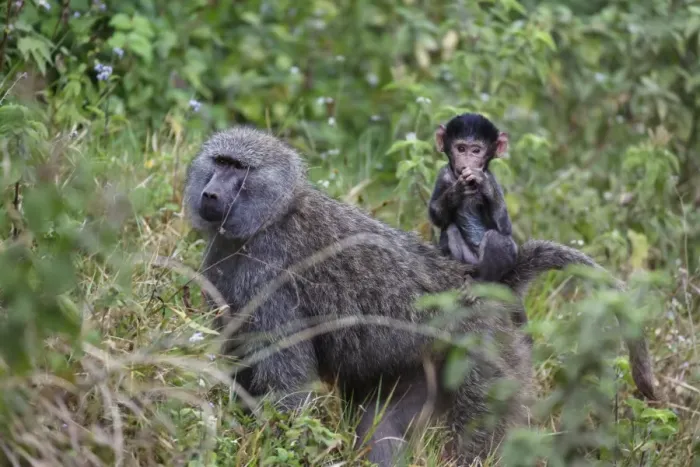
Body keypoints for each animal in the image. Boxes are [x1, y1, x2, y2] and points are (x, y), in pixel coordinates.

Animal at [184, 127, 656, 467]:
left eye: (238, 168)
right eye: (218, 162)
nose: (210, 193)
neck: (271, 217)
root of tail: (494, 287)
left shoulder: (273, 275)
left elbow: (286, 385)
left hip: (488, 358)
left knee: (476, 438)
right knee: (380, 428)